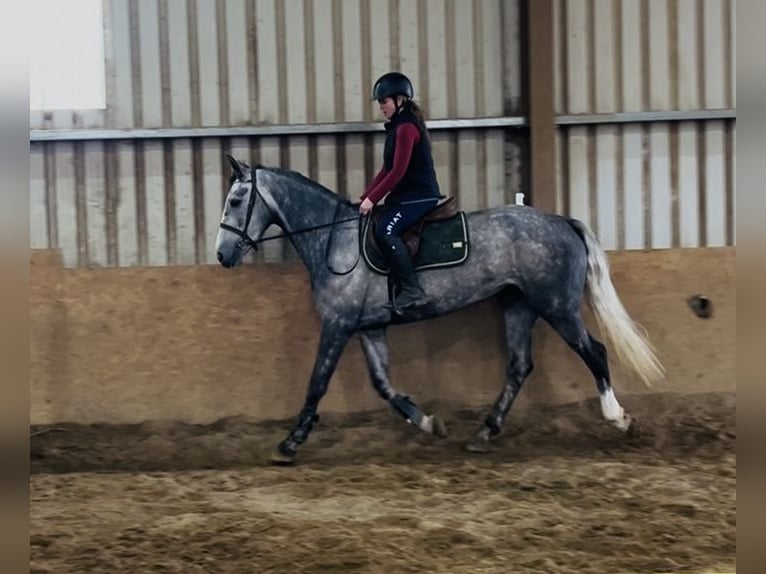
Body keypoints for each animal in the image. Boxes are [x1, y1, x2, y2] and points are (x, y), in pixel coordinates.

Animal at [215, 154, 664, 464]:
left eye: (236, 201)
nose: (221, 256)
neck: (332, 238)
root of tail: (560, 221)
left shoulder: (338, 325)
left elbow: (317, 382)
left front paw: (290, 442)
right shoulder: (369, 328)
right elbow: (383, 385)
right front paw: (430, 423)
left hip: (556, 306)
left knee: (595, 352)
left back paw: (618, 418)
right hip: (518, 304)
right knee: (520, 366)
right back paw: (484, 433)